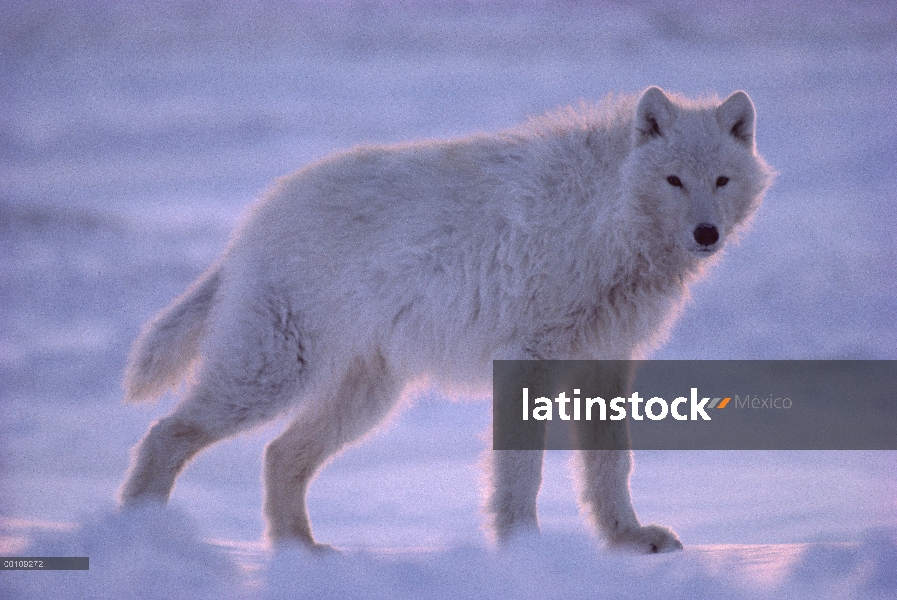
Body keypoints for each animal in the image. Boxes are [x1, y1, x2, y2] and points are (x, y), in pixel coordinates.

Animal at [119, 88, 772, 552]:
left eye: (720, 180)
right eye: (673, 180)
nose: (706, 234)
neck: (602, 219)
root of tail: (252, 221)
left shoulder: (605, 365)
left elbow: (610, 466)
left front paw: (628, 540)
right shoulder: (529, 360)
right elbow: (521, 471)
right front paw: (524, 547)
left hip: (365, 399)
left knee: (279, 456)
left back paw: (300, 553)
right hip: (272, 376)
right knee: (164, 435)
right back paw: (140, 538)